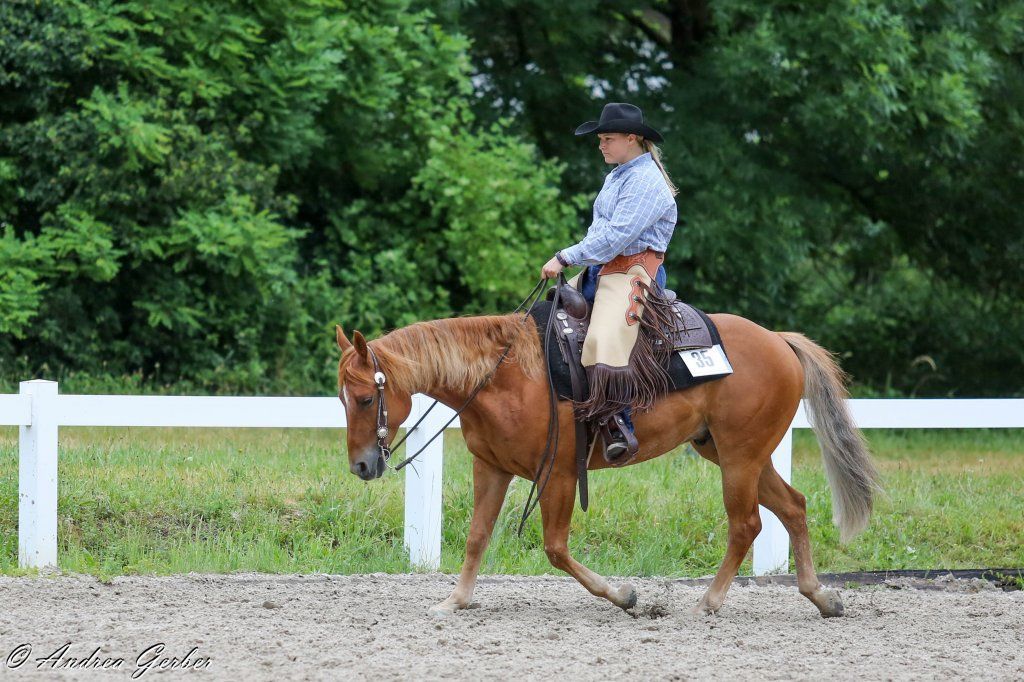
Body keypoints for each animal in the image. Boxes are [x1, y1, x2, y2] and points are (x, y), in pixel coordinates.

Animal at [334, 308, 880, 618]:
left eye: (364, 398)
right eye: (342, 399)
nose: (360, 466)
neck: (504, 375)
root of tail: (778, 340)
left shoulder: (556, 474)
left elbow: (555, 549)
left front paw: (624, 596)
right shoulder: (491, 467)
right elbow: (476, 536)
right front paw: (456, 600)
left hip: (741, 458)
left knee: (747, 524)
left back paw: (709, 602)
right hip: (732, 453)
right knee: (794, 506)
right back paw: (822, 598)